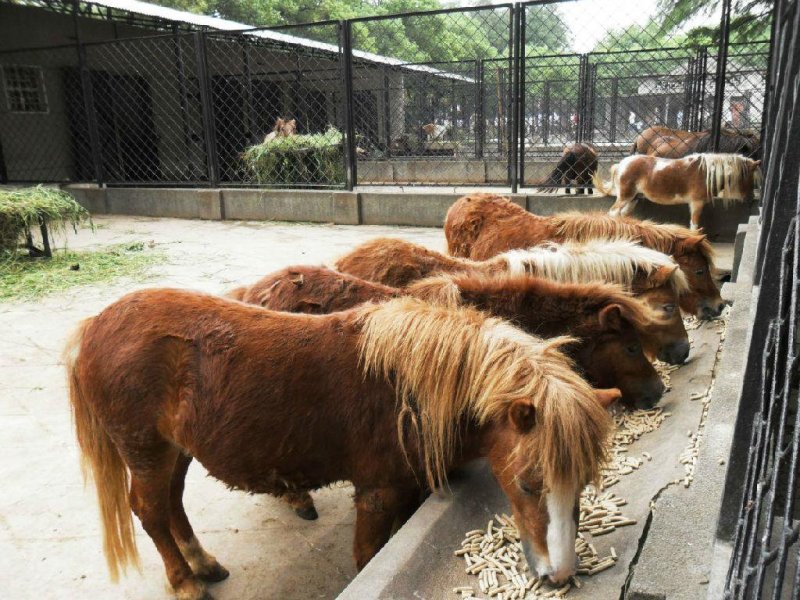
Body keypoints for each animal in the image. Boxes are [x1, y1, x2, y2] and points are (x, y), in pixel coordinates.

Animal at [66, 289, 612, 598]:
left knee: (171, 502)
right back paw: (185, 584)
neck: (408, 387)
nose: (560, 575)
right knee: (150, 510)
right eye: (528, 484)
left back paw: (203, 564)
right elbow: (367, 555)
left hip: (174, 449)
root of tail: (94, 326)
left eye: (585, 484)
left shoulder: (406, 491)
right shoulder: (376, 494)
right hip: (146, 450)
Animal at [593, 153, 761, 230]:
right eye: (751, 178)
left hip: (633, 198)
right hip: (625, 197)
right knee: (613, 213)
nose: (751, 199)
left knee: (622, 214)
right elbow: (694, 226)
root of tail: (621, 164)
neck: (706, 173)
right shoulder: (696, 203)